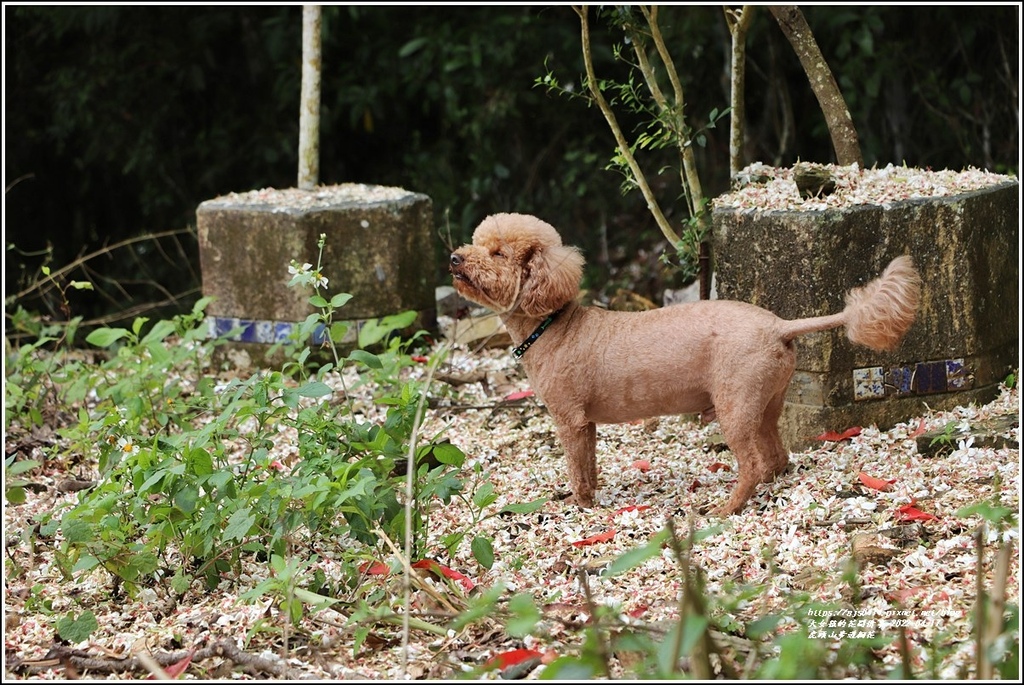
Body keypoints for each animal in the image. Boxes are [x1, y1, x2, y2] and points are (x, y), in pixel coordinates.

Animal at [448, 213, 921, 511]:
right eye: (477, 243)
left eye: (497, 253)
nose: (455, 256)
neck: (552, 325)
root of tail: (779, 326)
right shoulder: (588, 425)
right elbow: (591, 466)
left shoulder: (571, 420)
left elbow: (578, 471)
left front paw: (582, 506)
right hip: (766, 401)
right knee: (775, 456)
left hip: (735, 404)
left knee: (752, 464)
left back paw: (727, 509)